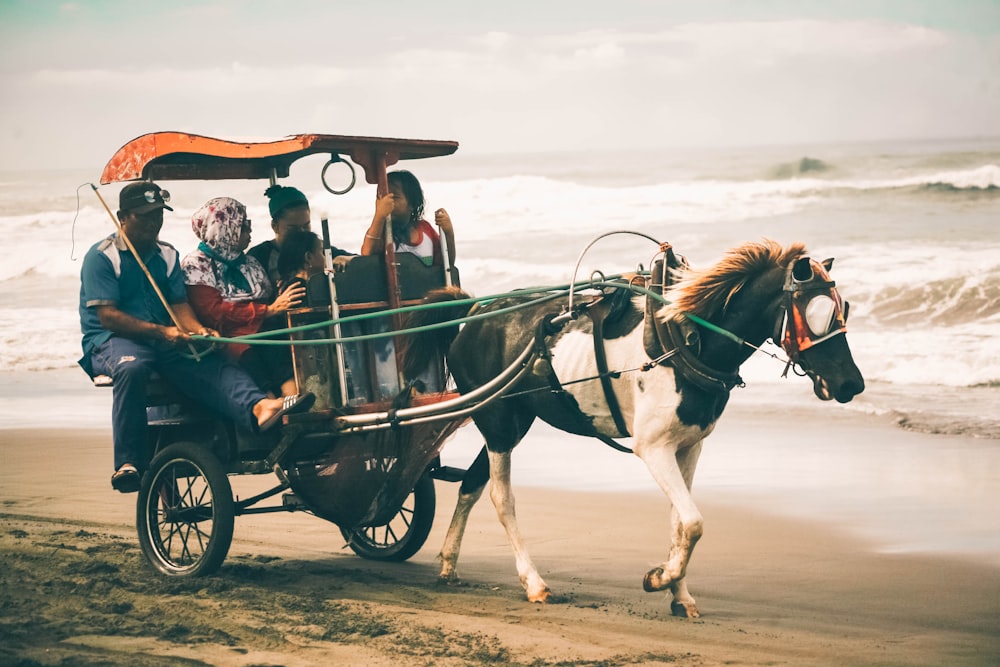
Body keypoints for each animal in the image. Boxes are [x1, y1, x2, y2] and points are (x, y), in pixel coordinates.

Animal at [406, 237, 860, 620]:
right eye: (816, 315)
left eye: (845, 310)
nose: (852, 384)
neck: (684, 340)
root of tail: (475, 313)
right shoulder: (653, 448)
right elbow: (693, 523)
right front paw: (660, 577)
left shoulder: (688, 447)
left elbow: (680, 524)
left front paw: (680, 594)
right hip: (499, 422)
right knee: (501, 498)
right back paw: (532, 582)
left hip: (513, 420)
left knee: (471, 485)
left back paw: (449, 563)